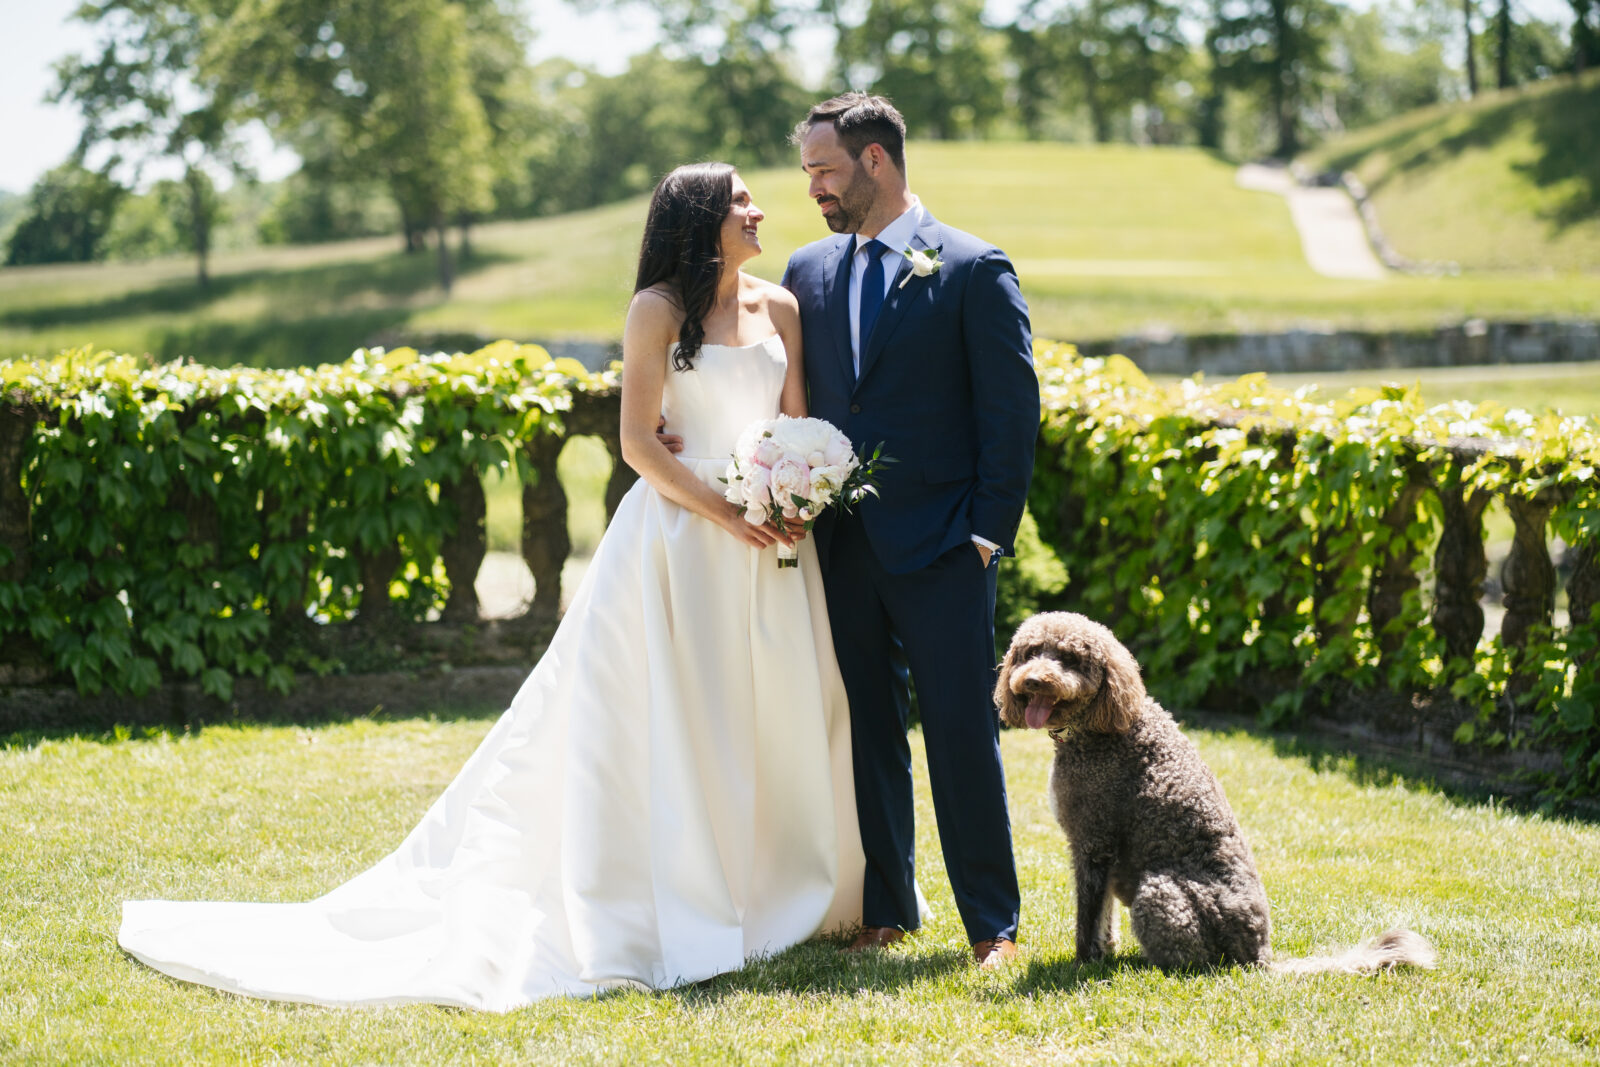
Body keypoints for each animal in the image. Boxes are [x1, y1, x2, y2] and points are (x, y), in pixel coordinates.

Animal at [998, 607, 1440, 979]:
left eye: (1070, 658)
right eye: (1031, 652)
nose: (1033, 679)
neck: (1100, 727)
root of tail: (1259, 955)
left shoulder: (1093, 842)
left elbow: (1087, 915)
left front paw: (1083, 962)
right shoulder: (1099, 850)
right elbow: (1103, 916)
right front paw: (1103, 951)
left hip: (1160, 891)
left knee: (1192, 963)